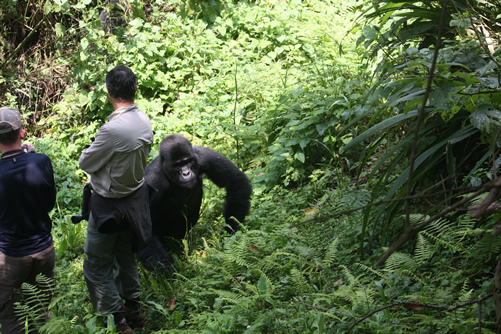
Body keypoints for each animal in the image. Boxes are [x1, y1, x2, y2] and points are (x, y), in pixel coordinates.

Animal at [135, 133, 252, 272]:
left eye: (187, 162)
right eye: (177, 165)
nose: (186, 173)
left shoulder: (204, 157)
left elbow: (236, 184)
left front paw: (231, 232)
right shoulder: (153, 180)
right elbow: (141, 233)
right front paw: (169, 273)